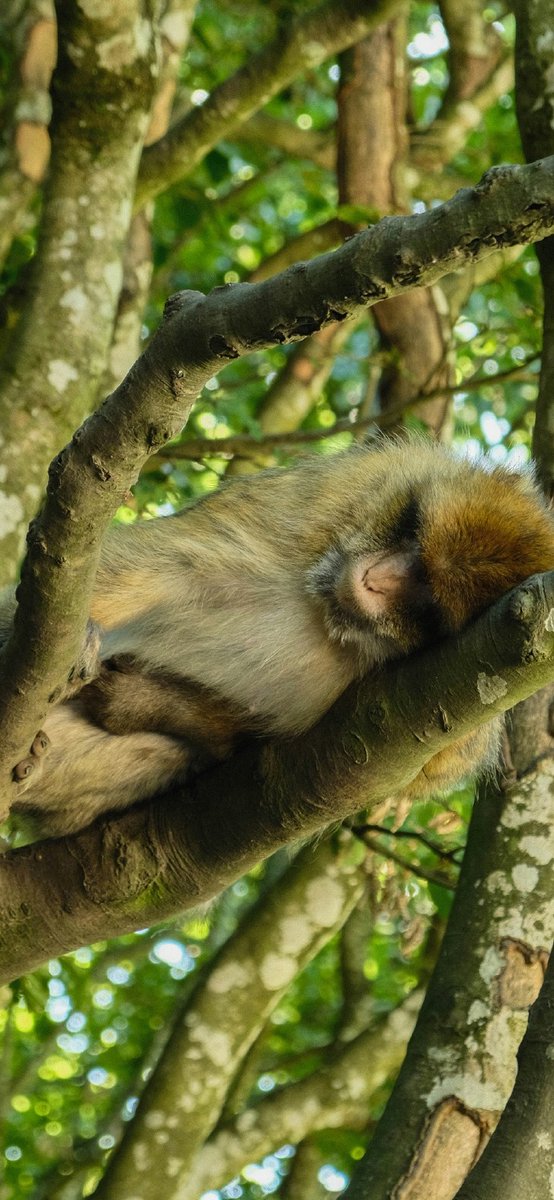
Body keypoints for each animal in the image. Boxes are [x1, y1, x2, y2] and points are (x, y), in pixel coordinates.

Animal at [6, 436, 554, 840]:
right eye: (414, 535)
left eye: (429, 601)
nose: (372, 581)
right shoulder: (334, 497)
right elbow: (167, 565)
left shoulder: (453, 735)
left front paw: (149, 703)